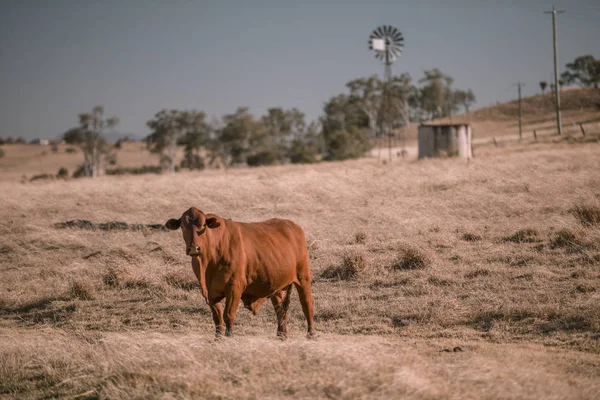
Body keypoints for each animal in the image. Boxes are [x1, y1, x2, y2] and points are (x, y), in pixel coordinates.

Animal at [164, 208, 314, 340]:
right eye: (182, 226)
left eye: (203, 225)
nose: (194, 248)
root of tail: (293, 226)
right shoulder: (209, 293)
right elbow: (218, 318)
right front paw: (218, 339)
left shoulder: (234, 288)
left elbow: (228, 315)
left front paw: (229, 338)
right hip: (277, 286)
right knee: (281, 311)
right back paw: (281, 336)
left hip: (303, 277)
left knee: (307, 304)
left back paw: (310, 335)